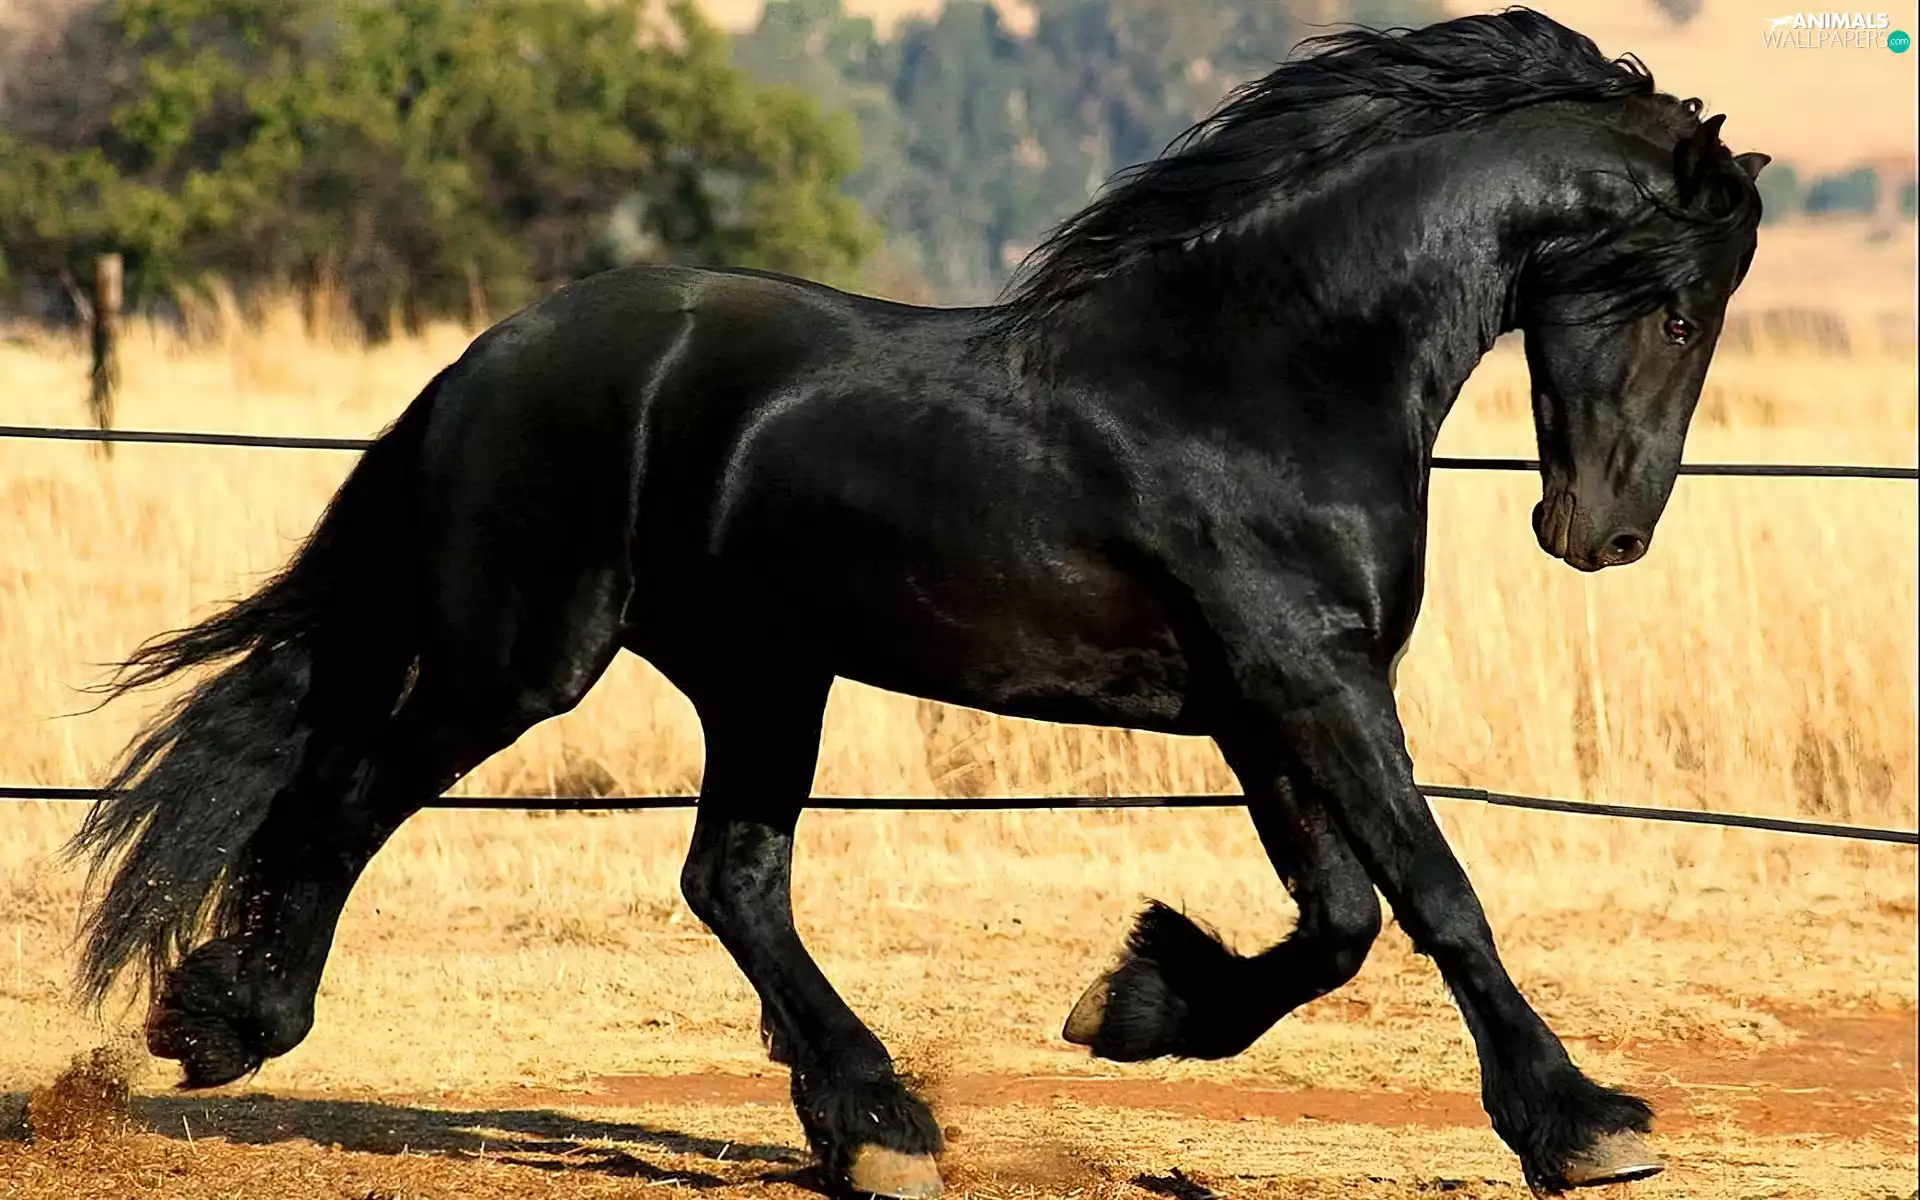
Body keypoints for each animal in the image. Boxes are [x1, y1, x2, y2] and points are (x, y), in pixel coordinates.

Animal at [67, 9, 1766, 1197]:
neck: (1265, 372)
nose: (1603, 532)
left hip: (763, 675)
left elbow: (1339, 918)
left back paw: (873, 1122)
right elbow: (1434, 892)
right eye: (1680, 304)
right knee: (352, 796)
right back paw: (223, 1022)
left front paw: (1133, 1003)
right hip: (528, 654)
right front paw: (1585, 1125)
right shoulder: (1307, 682)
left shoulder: (1265, 699)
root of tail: (488, 360)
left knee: (729, 880)